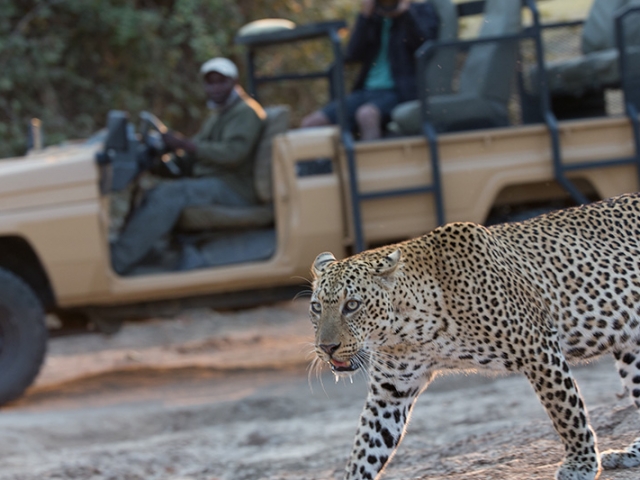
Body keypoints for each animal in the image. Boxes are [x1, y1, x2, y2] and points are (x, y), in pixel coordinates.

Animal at [310, 192, 640, 480]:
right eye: (316, 307)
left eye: (352, 305)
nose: (327, 347)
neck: (406, 332)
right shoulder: (391, 391)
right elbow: (366, 447)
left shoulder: (539, 348)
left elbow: (566, 413)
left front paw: (580, 464)